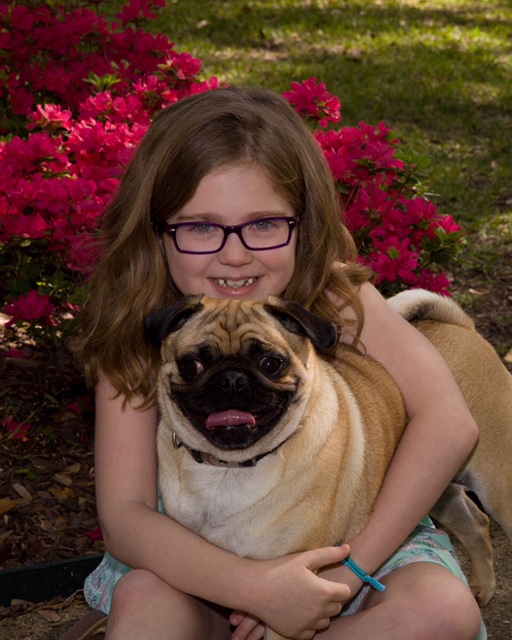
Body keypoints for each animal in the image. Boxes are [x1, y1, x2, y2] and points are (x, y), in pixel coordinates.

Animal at [145, 290, 512, 637]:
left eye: (270, 363)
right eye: (192, 365)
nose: (232, 379)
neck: (230, 468)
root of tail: (461, 326)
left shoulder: (289, 595)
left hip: (494, 484)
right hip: (435, 485)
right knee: (475, 522)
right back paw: (483, 586)